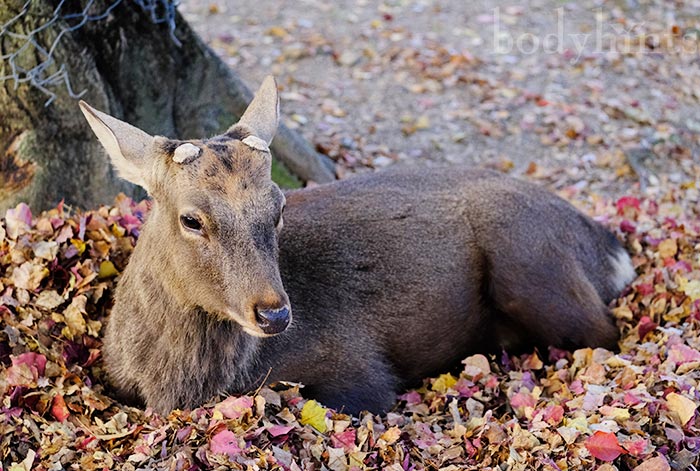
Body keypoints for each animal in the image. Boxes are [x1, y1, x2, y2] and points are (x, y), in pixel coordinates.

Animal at [79, 75, 636, 414]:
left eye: (279, 208)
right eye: (191, 219)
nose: (275, 314)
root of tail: (609, 245)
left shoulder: (355, 369)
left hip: (533, 263)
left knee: (605, 333)